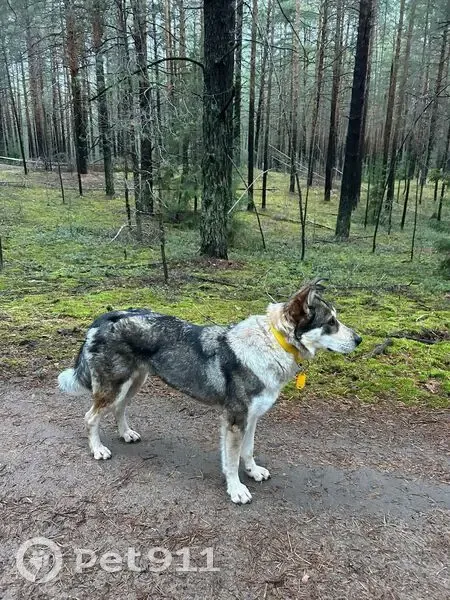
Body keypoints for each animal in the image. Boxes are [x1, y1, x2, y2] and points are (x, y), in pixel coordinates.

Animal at [58, 279, 361, 504]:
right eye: (331, 322)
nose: (360, 339)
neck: (272, 343)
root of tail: (105, 317)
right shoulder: (235, 421)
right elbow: (231, 461)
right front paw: (236, 490)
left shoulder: (252, 419)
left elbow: (248, 452)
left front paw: (253, 472)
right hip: (114, 387)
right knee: (91, 417)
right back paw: (98, 449)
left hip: (133, 385)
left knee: (119, 409)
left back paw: (126, 434)